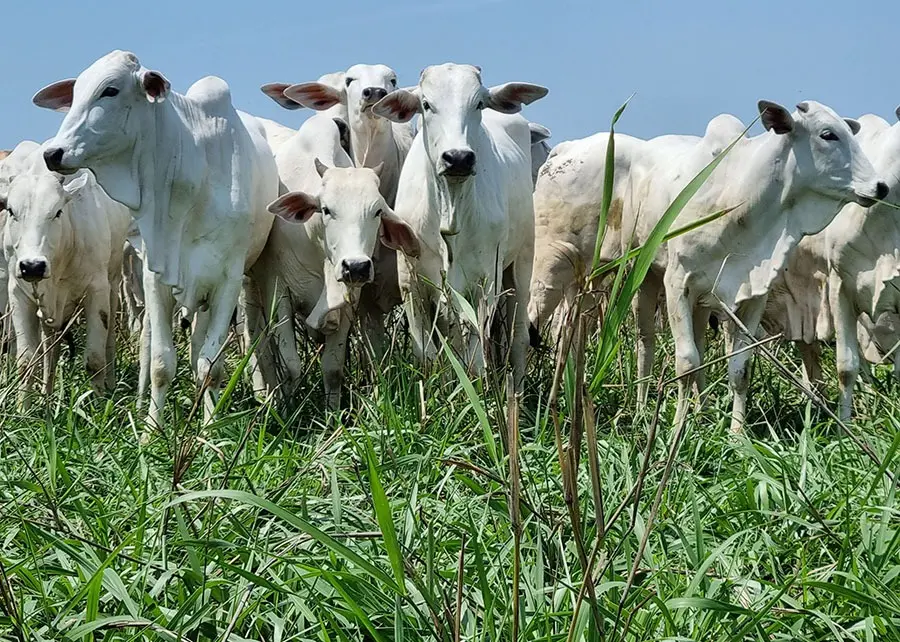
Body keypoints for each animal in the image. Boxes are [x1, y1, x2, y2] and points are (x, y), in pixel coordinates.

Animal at [1, 155, 132, 402]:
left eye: (58, 212)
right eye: (12, 212)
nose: (32, 266)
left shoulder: (97, 291)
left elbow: (94, 360)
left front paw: (98, 405)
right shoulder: (18, 294)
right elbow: (26, 363)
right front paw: (24, 408)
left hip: (113, 285)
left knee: (109, 341)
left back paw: (110, 385)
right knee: (50, 349)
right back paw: (47, 393)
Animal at [34, 50, 278, 428]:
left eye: (110, 90)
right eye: (74, 94)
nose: (53, 153)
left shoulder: (228, 280)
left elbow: (211, 367)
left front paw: (209, 429)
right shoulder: (156, 275)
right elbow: (162, 363)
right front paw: (151, 431)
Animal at [374, 65, 548, 388]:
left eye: (478, 103)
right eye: (426, 104)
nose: (458, 158)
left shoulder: (485, 283)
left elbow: (475, 360)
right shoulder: (411, 283)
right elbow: (428, 355)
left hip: (520, 264)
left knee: (517, 338)